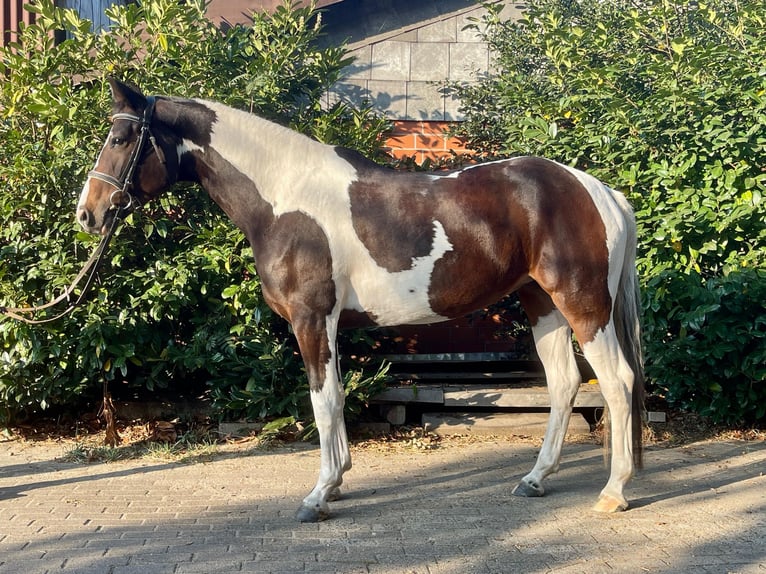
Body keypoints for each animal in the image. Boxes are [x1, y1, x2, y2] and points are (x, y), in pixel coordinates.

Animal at [77, 78, 644, 522]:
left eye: (122, 138)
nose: (88, 214)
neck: (283, 199)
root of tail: (601, 192)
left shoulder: (311, 319)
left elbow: (323, 401)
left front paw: (319, 495)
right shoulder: (323, 325)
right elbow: (336, 397)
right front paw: (338, 482)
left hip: (583, 304)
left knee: (617, 382)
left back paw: (614, 492)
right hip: (540, 302)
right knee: (565, 383)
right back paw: (535, 479)